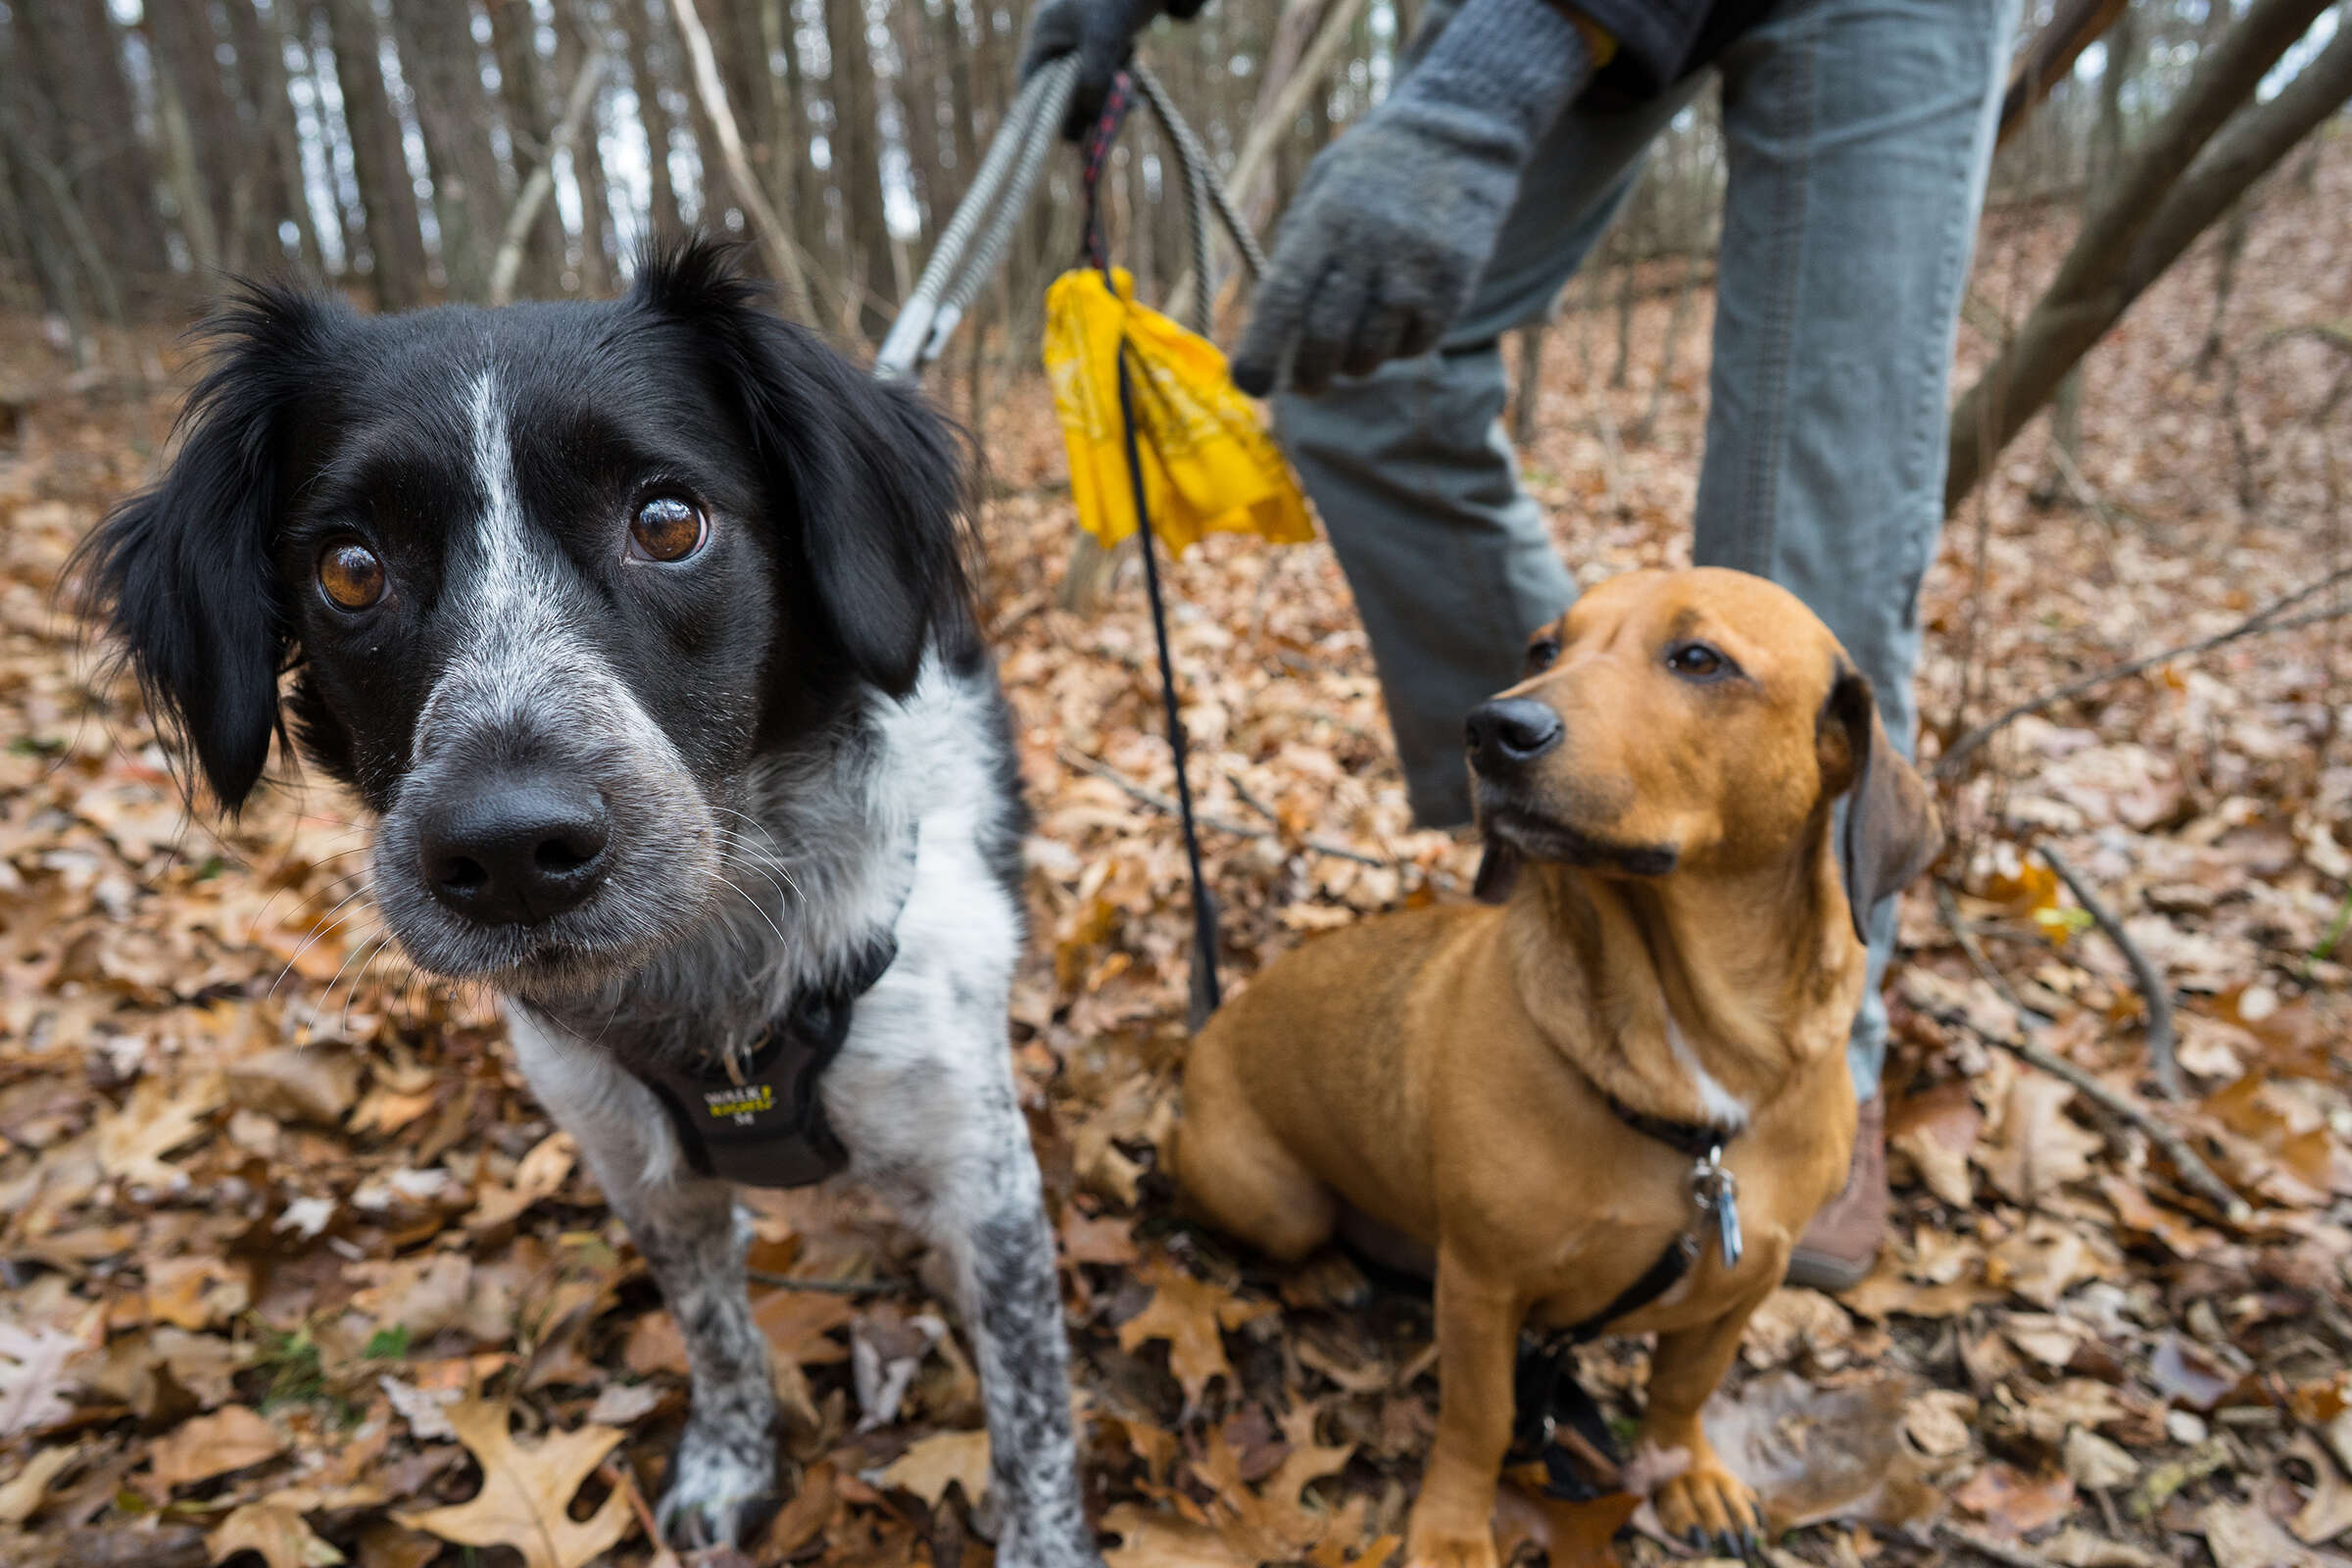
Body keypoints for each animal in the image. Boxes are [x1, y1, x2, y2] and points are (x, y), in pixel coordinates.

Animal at [77, 239, 1096, 1560]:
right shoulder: (640, 1170)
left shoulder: (986, 1182)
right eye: (348, 568)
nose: (511, 849)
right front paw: (728, 1461)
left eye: (668, 521)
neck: (711, 983)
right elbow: (718, 1336)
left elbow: (1030, 1416)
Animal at [1171, 566, 1929, 1568]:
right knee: (1290, 1238)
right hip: (1272, 1199)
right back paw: (1327, 1274)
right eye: (1542, 648)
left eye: (1699, 658)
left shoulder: (1739, 1290)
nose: (1492, 728)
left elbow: (1681, 1392)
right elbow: (1482, 1419)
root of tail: (1213, 1025)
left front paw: (1685, 1473)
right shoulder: (1482, 1288)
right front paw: (1453, 1530)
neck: (1690, 1072)